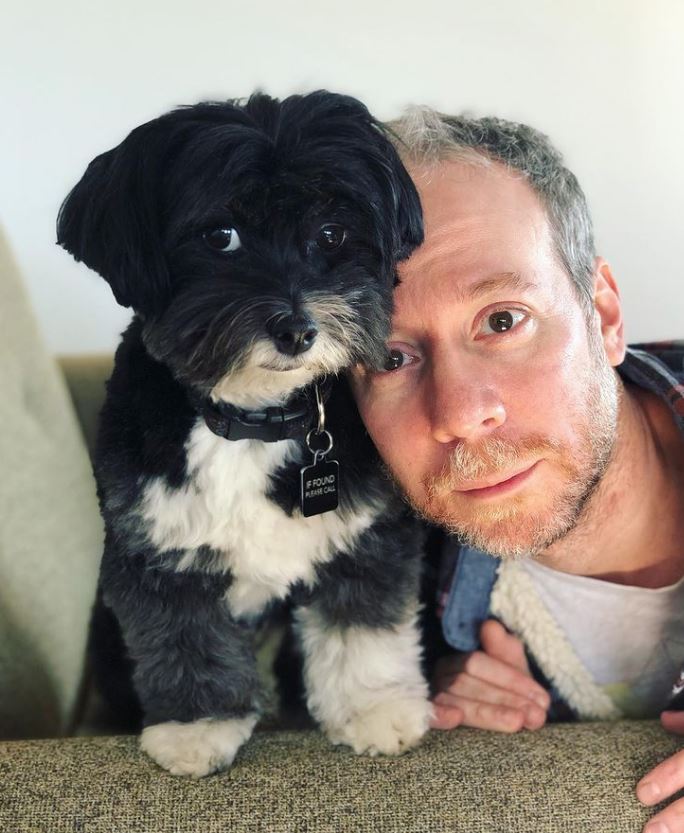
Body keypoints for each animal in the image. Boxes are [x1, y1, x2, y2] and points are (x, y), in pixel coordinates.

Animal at [58, 91, 432, 772]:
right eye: (220, 236)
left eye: (331, 234)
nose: (298, 330)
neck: (250, 422)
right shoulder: (156, 548)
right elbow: (183, 638)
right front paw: (196, 728)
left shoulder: (364, 535)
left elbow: (362, 626)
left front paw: (373, 709)